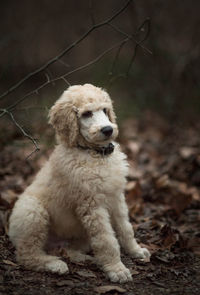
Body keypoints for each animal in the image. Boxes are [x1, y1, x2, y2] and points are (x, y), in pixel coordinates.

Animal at [9, 84, 150, 284]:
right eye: (86, 114)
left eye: (105, 110)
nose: (108, 129)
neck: (94, 154)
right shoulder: (92, 204)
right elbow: (106, 239)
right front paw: (117, 269)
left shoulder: (116, 197)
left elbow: (125, 228)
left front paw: (135, 250)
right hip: (32, 212)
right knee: (26, 255)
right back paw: (54, 264)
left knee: (68, 250)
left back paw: (85, 259)